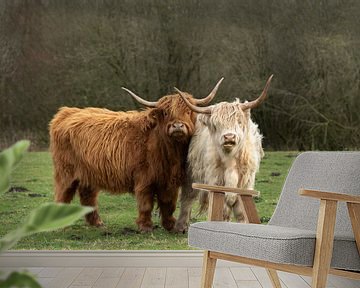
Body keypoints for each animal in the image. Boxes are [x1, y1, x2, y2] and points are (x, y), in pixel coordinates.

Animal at [174, 75, 272, 233]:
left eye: (239, 121)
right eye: (216, 124)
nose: (229, 137)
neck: (230, 160)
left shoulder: (246, 181)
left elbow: (240, 209)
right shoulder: (216, 180)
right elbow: (224, 208)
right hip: (190, 173)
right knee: (187, 198)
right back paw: (181, 227)